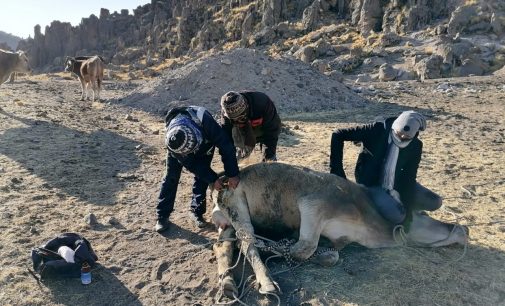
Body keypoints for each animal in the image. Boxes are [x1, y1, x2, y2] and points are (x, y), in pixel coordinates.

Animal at [211, 164, 466, 298]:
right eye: (424, 215)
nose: (463, 229)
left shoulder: (338, 239)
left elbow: (331, 255)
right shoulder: (314, 204)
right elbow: (304, 247)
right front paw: (272, 245)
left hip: (228, 218)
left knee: (222, 244)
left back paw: (228, 285)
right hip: (236, 204)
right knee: (247, 241)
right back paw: (267, 282)